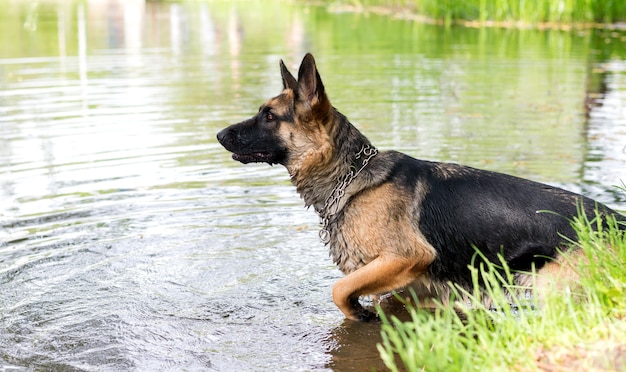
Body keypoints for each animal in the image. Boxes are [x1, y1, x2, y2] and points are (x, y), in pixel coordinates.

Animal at [216, 53, 624, 322]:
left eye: (269, 116)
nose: (219, 135)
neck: (353, 176)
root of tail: (617, 222)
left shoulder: (405, 257)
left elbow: (339, 290)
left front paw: (358, 314)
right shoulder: (412, 287)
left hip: (552, 290)